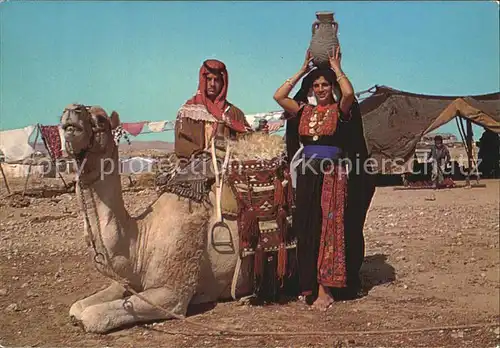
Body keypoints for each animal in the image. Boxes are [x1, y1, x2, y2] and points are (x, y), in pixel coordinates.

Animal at [61, 104, 286, 334]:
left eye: (101, 119)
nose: (72, 110)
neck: (141, 241)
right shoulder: (129, 281)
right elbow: (77, 306)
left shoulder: (172, 293)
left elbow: (92, 315)